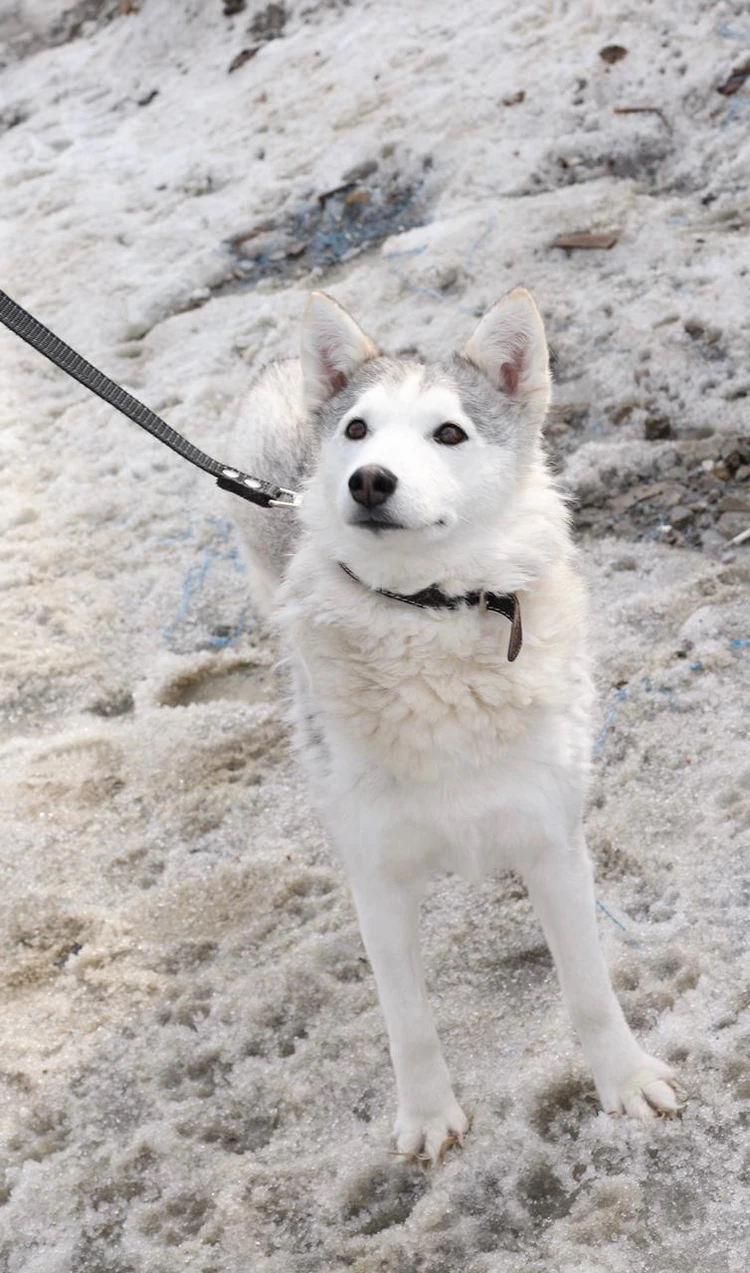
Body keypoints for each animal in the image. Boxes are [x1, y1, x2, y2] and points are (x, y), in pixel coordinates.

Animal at [227, 291, 677, 1166]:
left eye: (449, 433)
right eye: (357, 428)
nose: (369, 479)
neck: (425, 613)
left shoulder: (553, 842)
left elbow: (589, 990)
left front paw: (625, 1079)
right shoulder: (378, 876)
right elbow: (408, 1022)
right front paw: (430, 1114)